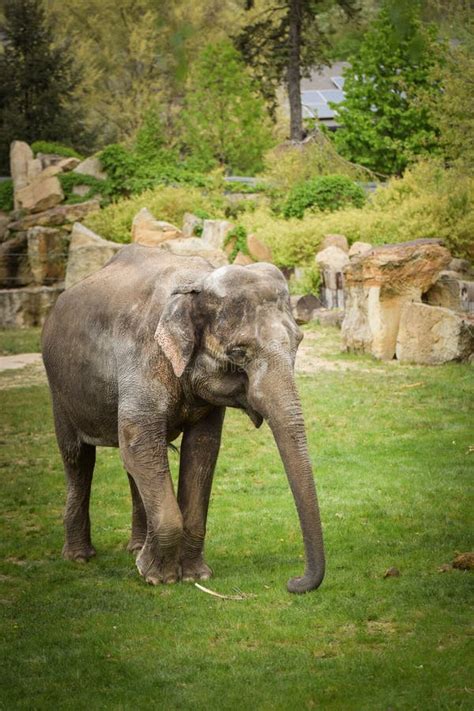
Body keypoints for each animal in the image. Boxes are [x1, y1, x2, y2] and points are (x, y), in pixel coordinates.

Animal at [42, 245, 326, 596]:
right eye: (238, 353)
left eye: (299, 341)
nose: (293, 582)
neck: (197, 282)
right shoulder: (142, 358)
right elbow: (141, 443)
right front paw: (157, 577)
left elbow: (200, 450)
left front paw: (194, 576)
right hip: (59, 388)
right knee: (78, 458)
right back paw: (80, 557)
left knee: (129, 463)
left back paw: (134, 548)